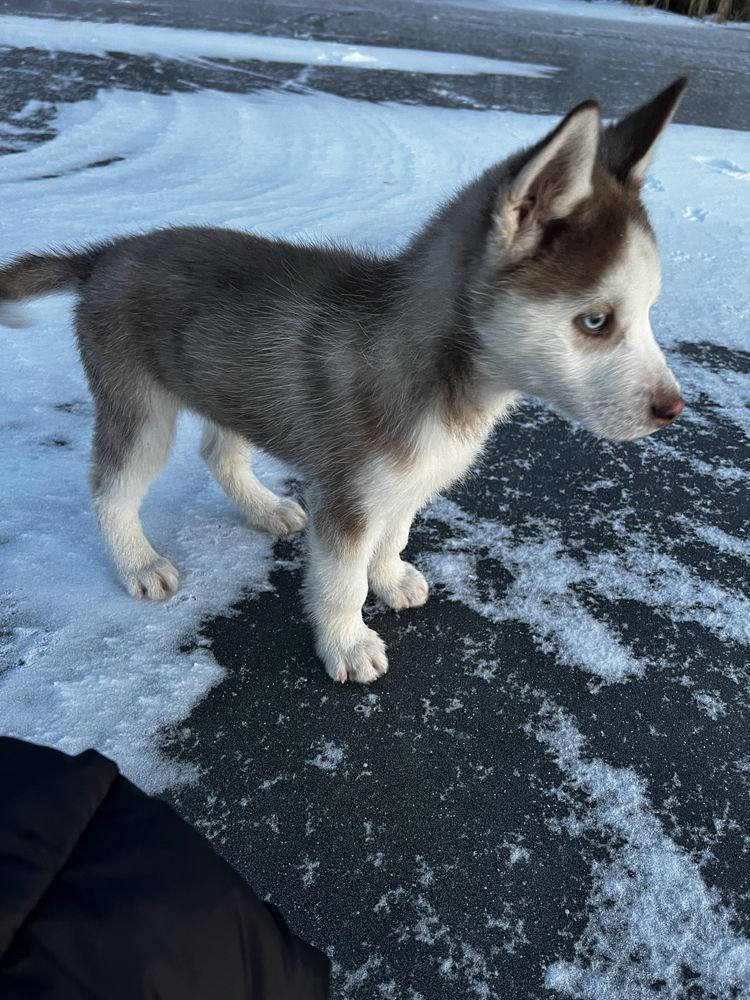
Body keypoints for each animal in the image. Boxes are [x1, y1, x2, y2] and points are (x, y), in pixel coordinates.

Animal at [0, 82, 692, 684]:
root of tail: (106, 254)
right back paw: (139, 563)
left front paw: (390, 575)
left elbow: (395, 532)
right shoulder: (347, 493)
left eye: (651, 310)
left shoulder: (406, 478)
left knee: (218, 450)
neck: (452, 383)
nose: (674, 410)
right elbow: (342, 579)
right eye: (596, 321)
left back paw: (264, 507)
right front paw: (348, 641)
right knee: (111, 487)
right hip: (140, 408)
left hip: (228, 383)